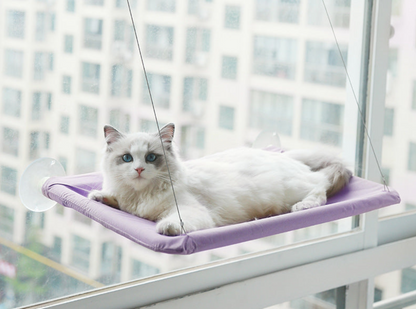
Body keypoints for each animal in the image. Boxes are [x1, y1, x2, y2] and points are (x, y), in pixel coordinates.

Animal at [88, 122, 352, 233]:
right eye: (127, 158)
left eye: (151, 158)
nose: (139, 170)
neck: (140, 196)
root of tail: (287, 157)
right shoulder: (128, 203)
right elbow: (116, 201)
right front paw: (99, 196)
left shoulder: (190, 211)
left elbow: (174, 221)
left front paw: (167, 228)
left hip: (293, 189)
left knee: (320, 187)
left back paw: (303, 206)